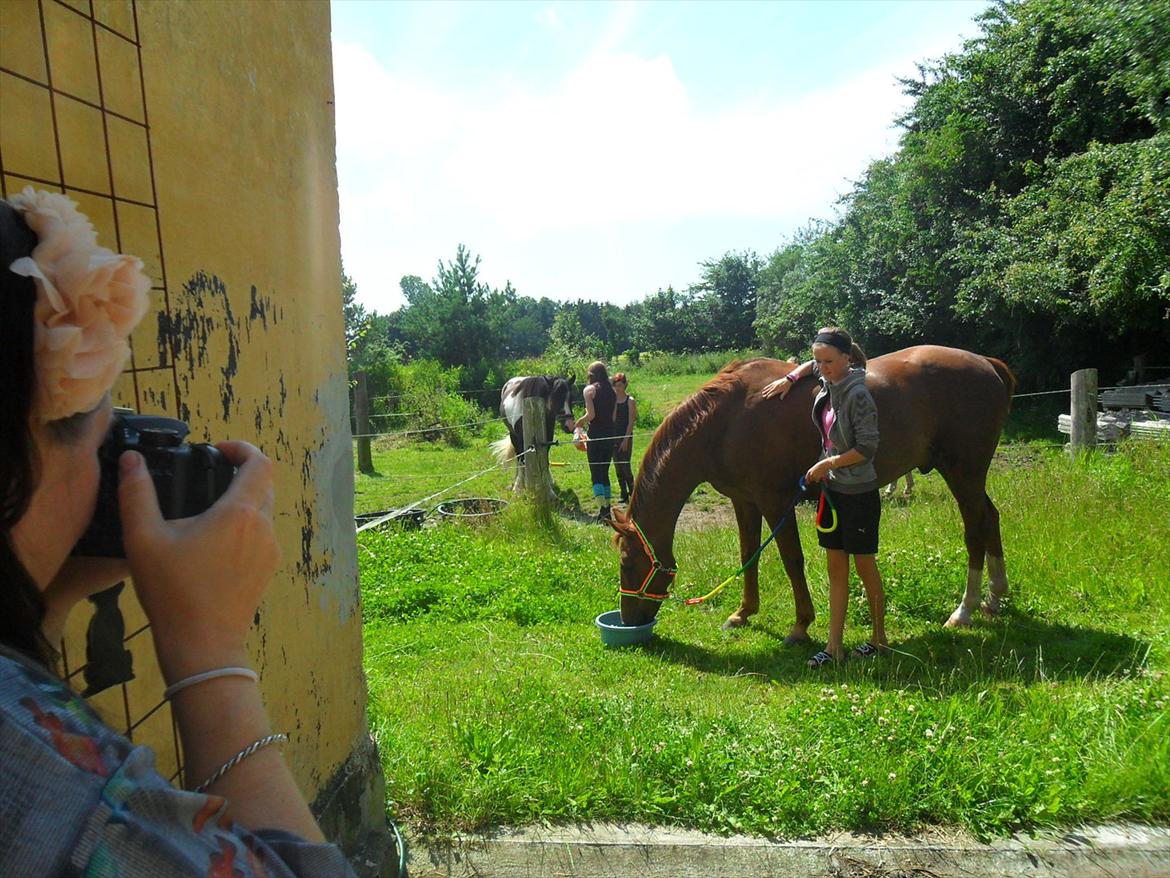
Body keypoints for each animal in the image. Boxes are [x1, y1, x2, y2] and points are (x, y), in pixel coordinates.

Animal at [613, 346, 1015, 641]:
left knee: (975, 528)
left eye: (627, 563)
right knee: (990, 519)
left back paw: (965, 610)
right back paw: (996, 598)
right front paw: (743, 613)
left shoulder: (775, 501)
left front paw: (801, 624)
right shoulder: (745, 501)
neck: (725, 421)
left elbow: (792, 559)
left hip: (962, 473)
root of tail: (987, 364)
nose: (628, 619)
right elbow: (749, 554)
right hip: (969, 476)